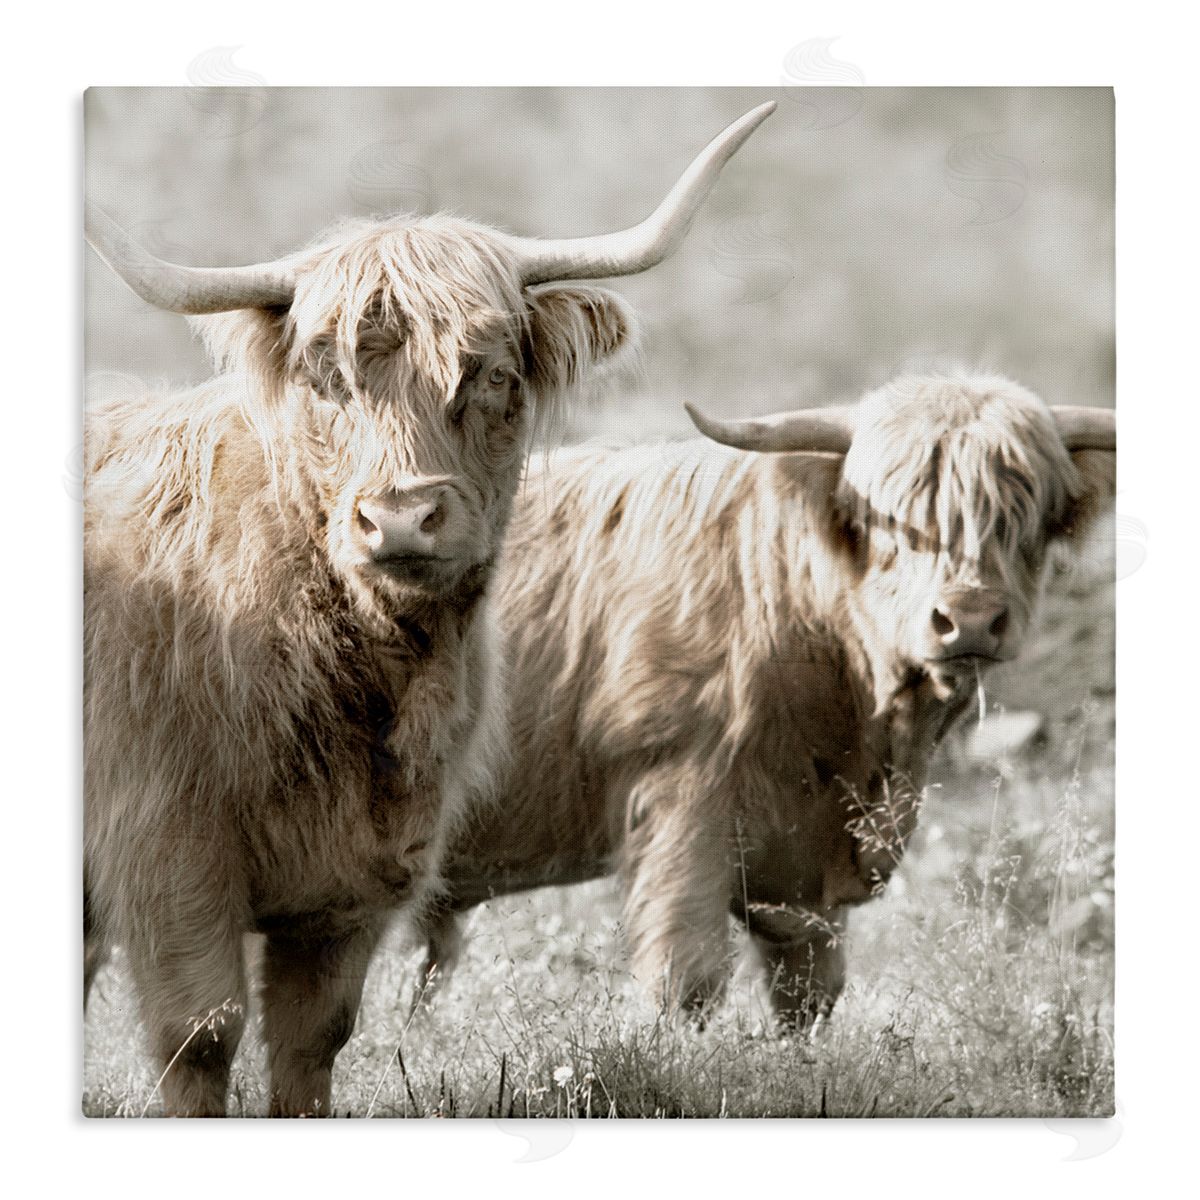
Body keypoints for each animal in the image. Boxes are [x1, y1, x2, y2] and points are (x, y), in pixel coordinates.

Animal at [83, 101, 775, 1116]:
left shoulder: (352, 885)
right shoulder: (164, 853)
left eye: (488, 373)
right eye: (327, 376)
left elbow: (312, 1046)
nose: (403, 516)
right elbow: (199, 1038)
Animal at [413, 371, 1115, 1029]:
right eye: (891, 522)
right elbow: (686, 979)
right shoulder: (684, 802)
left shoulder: (804, 868)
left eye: (1024, 519)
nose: (968, 619)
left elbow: (809, 992)